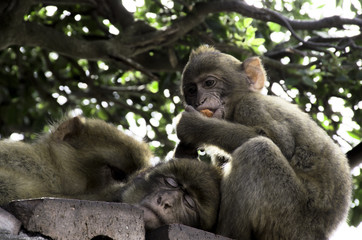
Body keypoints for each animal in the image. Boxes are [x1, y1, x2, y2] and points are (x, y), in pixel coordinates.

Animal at [174, 45, 352, 240]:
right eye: (192, 90)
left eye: (209, 83)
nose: (200, 101)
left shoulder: (251, 107)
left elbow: (282, 144)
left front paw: (195, 126)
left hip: (291, 219)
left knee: (257, 149)